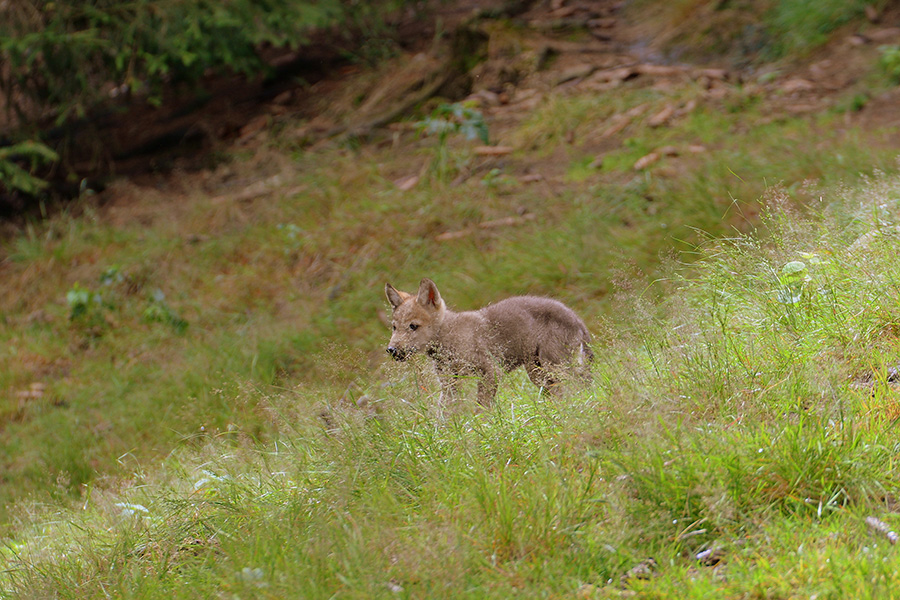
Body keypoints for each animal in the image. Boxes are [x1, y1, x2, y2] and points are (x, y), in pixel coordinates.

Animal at [384, 278, 596, 406]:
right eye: (394, 327)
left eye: (413, 326)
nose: (392, 350)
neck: (449, 337)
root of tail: (577, 319)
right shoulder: (448, 382)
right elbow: (443, 415)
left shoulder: (491, 371)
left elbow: (482, 407)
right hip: (537, 371)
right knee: (561, 392)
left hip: (553, 364)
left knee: (579, 384)